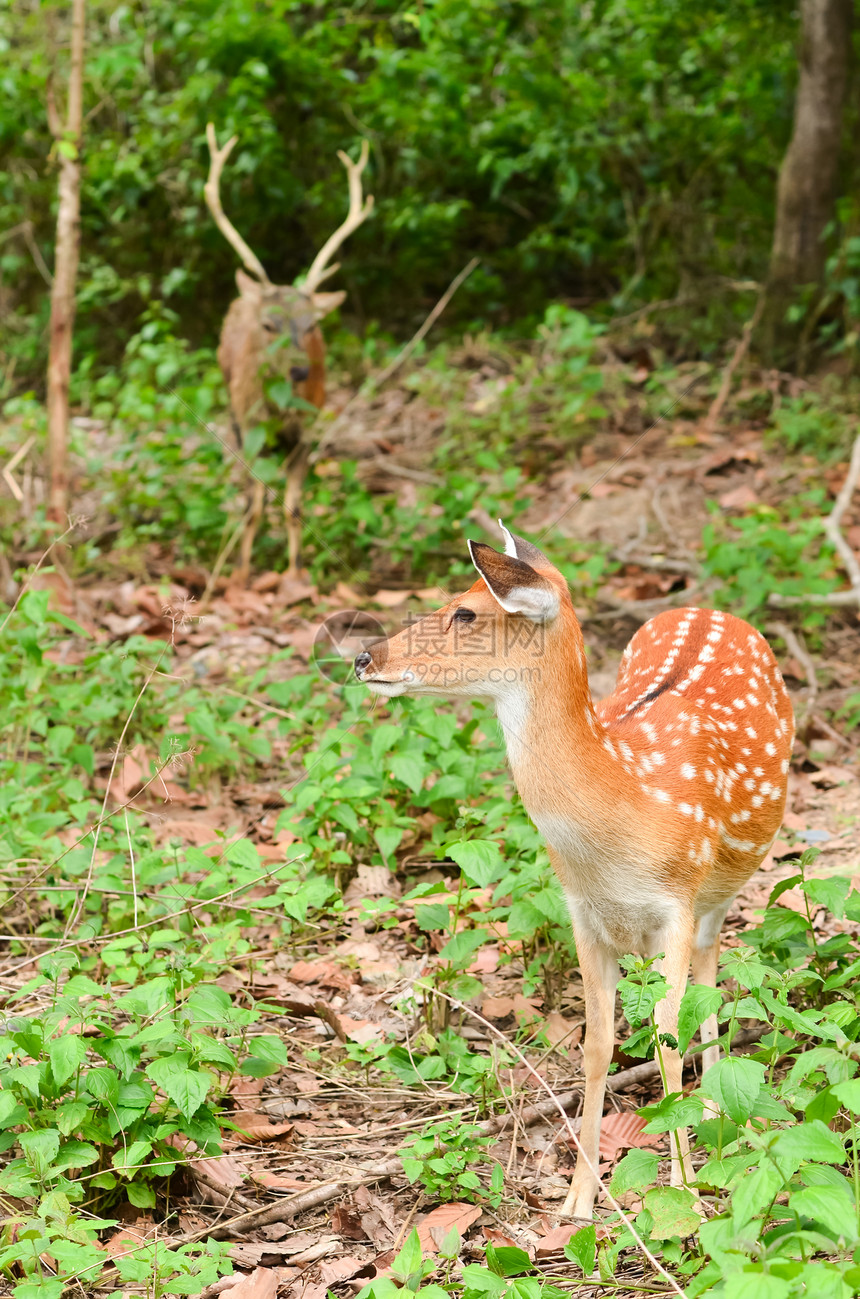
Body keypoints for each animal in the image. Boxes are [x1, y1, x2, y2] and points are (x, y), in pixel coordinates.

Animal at [207, 126, 376, 584]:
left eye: (313, 325)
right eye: (268, 326)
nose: (300, 371)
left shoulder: (309, 426)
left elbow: (296, 506)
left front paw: (296, 575)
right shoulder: (248, 423)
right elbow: (252, 503)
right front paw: (242, 574)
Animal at [355, 524, 795, 1215]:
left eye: (466, 611)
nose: (364, 658)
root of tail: (707, 607)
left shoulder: (677, 898)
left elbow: (665, 1033)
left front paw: (684, 1194)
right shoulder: (583, 914)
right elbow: (596, 1044)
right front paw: (578, 1200)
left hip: (722, 884)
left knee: (709, 974)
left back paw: (720, 1115)